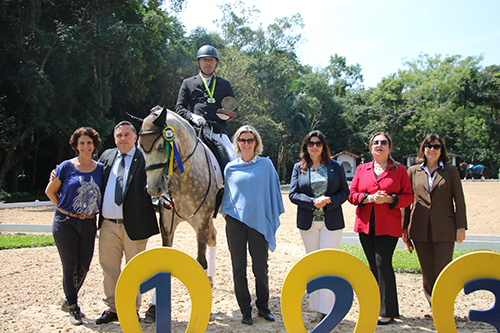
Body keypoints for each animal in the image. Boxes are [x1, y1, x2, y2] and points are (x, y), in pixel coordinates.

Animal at [129, 106, 217, 274]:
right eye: (140, 148)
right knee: (213, 236)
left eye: (160, 147)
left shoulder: (201, 222)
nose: (154, 189)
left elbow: (201, 262)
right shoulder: (166, 222)